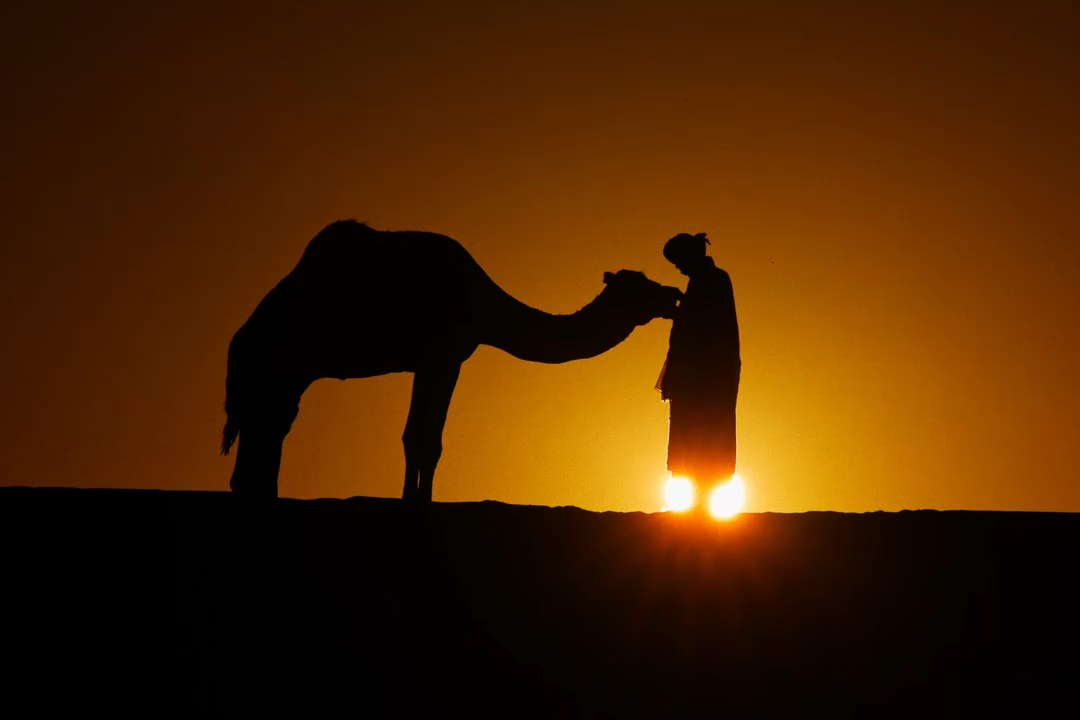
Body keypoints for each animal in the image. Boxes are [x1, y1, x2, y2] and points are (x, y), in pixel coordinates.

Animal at [222, 220, 682, 502]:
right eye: (639, 286)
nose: (672, 296)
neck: (482, 303)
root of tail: (238, 342)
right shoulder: (442, 357)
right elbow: (422, 439)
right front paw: (416, 502)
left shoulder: (435, 361)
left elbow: (423, 438)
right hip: (274, 371)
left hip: (282, 380)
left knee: (270, 431)